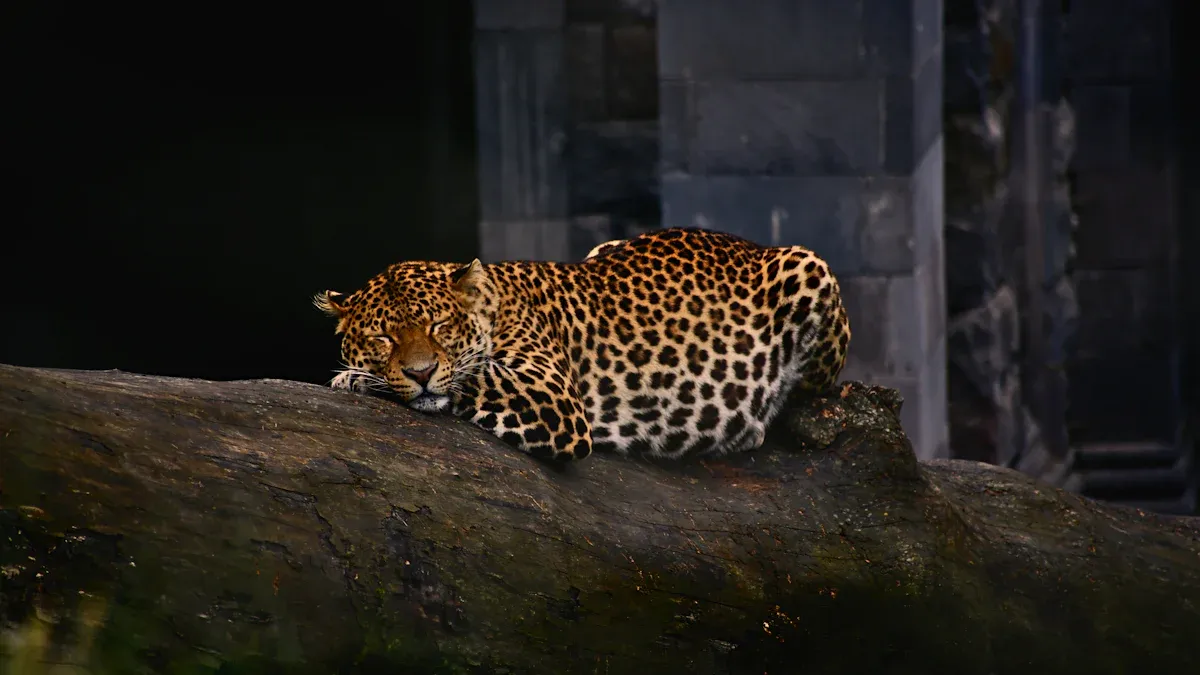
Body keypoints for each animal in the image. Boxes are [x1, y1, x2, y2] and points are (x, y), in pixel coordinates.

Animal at [315, 227, 851, 462]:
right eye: (382, 337)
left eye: (440, 325)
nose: (420, 372)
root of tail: (750, 245)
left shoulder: (550, 397)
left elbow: (472, 374)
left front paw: (357, 378)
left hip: (809, 267)